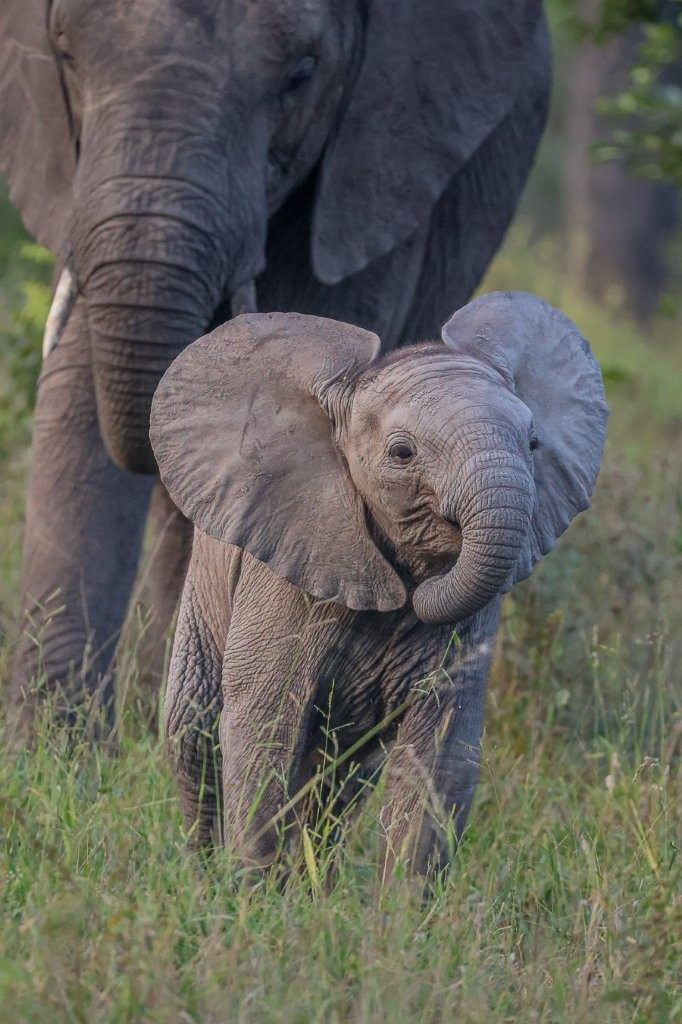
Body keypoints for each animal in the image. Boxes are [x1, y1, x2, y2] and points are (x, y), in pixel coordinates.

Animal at [149, 291, 608, 876]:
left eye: (533, 444)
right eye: (402, 453)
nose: (419, 589)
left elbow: (440, 759)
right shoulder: (287, 574)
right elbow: (263, 729)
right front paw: (247, 894)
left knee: (340, 783)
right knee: (192, 732)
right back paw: (205, 878)